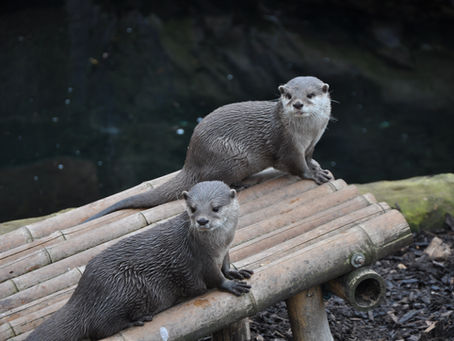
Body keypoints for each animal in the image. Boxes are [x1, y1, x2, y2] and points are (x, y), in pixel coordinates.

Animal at [26, 179, 252, 338]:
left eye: (216, 207)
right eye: (193, 208)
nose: (202, 221)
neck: (218, 244)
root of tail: (81, 295)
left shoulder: (225, 251)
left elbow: (226, 266)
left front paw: (236, 272)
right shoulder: (201, 259)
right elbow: (215, 278)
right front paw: (230, 285)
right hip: (121, 289)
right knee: (99, 328)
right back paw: (135, 321)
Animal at [86, 75, 334, 220]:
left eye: (310, 95)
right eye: (289, 95)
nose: (298, 104)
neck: (308, 133)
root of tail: (191, 161)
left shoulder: (312, 143)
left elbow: (309, 158)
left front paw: (317, 167)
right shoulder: (288, 146)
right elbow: (297, 166)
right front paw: (313, 175)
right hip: (233, 156)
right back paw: (243, 183)